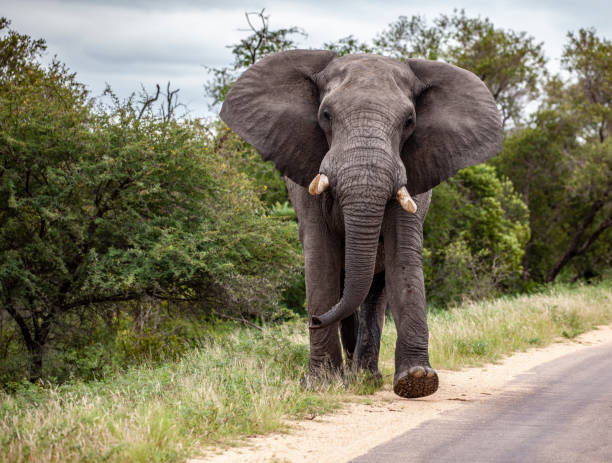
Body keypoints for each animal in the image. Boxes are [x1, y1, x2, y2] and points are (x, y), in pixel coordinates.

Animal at [221, 50, 502, 398]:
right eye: (326, 115)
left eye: (409, 122)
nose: (313, 320)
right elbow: (321, 259)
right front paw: (322, 384)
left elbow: (403, 257)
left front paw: (417, 381)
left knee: (374, 291)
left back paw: (365, 377)